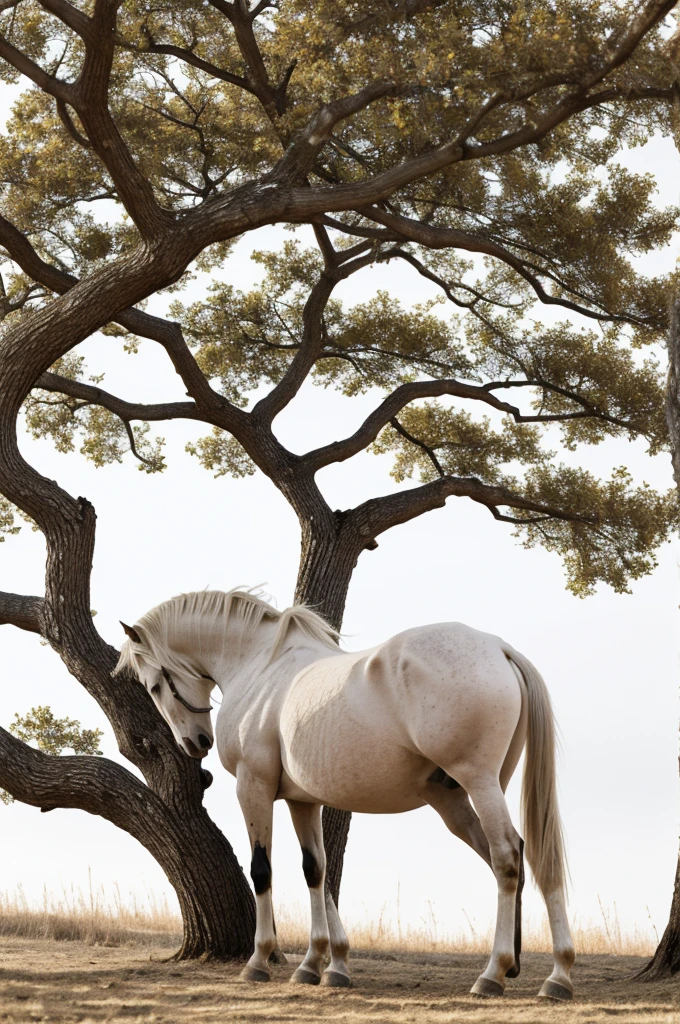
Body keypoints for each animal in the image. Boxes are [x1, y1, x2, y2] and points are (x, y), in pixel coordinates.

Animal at [116, 593, 573, 999]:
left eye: (154, 685)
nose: (196, 743)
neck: (260, 668)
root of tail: (498, 647)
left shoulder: (254, 786)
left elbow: (263, 870)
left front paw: (259, 961)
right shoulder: (303, 800)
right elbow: (317, 871)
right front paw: (323, 965)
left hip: (478, 783)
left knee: (507, 858)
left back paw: (503, 974)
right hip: (462, 798)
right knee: (519, 856)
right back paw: (538, 970)